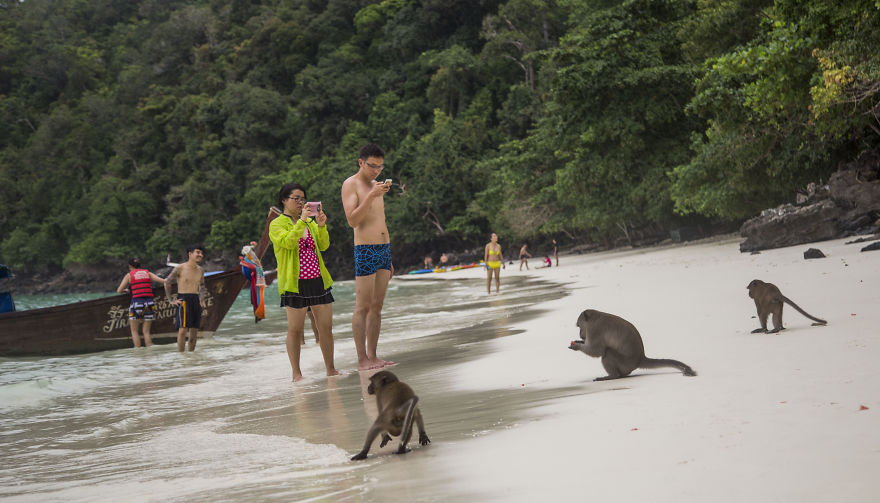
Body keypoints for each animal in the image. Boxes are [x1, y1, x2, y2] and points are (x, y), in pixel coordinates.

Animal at [568, 312, 696, 382]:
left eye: (579, 326)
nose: (580, 334)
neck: (595, 317)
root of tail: (640, 358)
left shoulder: (595, 329)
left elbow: (597, 351)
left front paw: (577, 346)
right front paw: (579, 341)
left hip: (625, 362)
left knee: (608, 352)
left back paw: (612, 376)